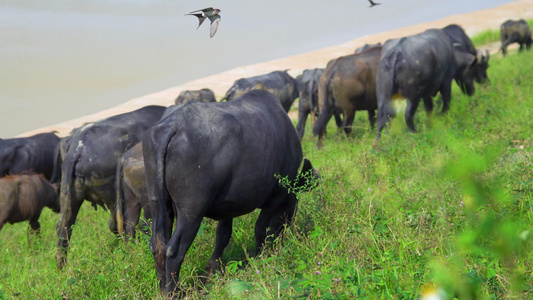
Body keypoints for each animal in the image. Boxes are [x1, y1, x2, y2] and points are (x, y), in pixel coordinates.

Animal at [55, 105, 165, 270]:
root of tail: (77, 149)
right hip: (113, 197)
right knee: (119, 225)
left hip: (69, 196)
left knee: (64, 228)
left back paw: (61, 267)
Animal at [141, 88, 316, 296]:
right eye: (293, 206)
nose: (285, 236)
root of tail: (172, 125)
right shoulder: (277, 195)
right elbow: (260, 228)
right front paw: (260, 255)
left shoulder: (228, 206)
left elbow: (223, 235)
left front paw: (213, 268)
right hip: (191, 211)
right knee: (173, 250)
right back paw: (175, 292)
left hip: (159, 202)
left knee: (157, 245)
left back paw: (163, 288)